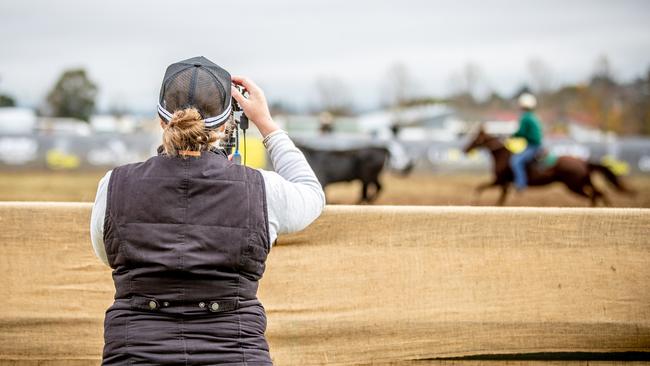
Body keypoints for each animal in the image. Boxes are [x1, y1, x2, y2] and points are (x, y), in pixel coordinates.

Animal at [464, 126, 632, 206]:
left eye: (476, 138)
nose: (465, 148)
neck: (503, 155)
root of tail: (584, 162)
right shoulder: (504, 184)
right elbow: (499, 198)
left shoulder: (500, 181)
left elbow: (480, 188)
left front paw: (474, 201)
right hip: (583, 182)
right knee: (599, 193)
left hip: (574, 185)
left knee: (594, 195)